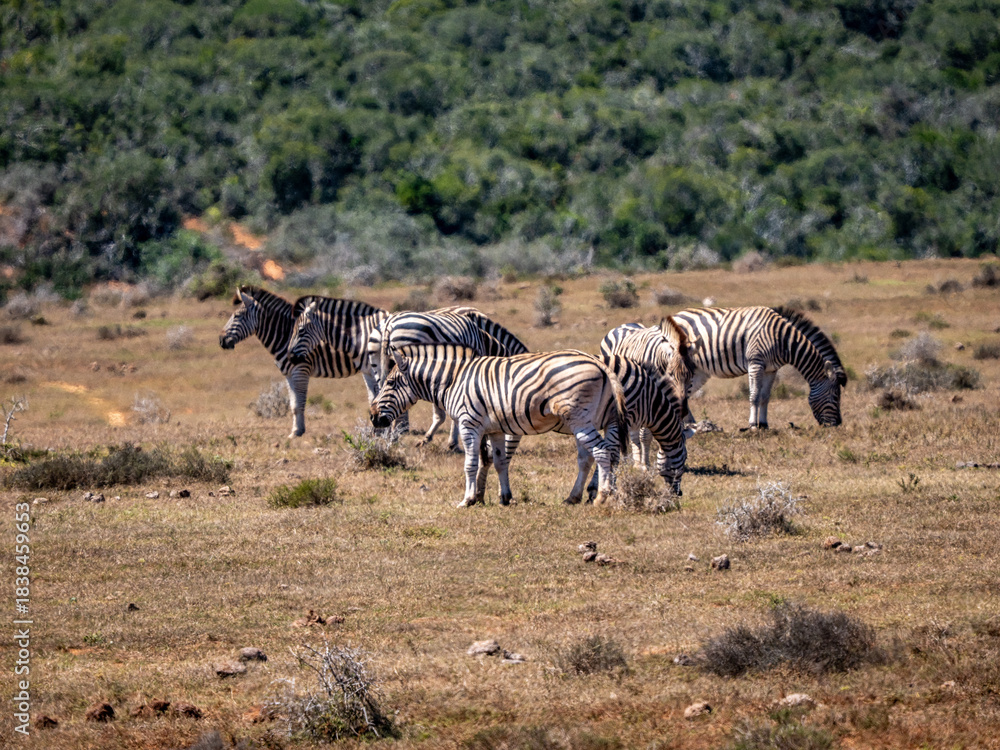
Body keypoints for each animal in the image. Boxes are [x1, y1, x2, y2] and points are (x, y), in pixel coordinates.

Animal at [218, 285, 386, 438]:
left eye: (237, 316)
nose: (221, 340)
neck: (285, 335)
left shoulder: (301, 370)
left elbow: (300, 404)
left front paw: (298, 432)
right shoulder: (288, 374)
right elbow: (293, 405)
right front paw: (295, 431)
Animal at [369, 344, 629, 507]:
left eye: (390, 383)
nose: (373, 417)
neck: (452, 381)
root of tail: (598, 362)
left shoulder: (469, 424)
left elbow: (470, 464)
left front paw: (467, 500)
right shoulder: (494, 429)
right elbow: (500, 462)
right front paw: (505, 497)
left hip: (579, 418)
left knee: (602, 452)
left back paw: (602, 497)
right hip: (599, 420)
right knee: (595, 456)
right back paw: (575, 497)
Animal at [586, 354, 689, 499]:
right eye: (685, 457)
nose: (679, 493)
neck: (648, 400)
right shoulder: (621, 421)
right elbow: (612, 453)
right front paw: (604, 487)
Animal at [669, 306, 847, 429]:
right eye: (835, 396)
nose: (838, 424)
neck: (782, 340)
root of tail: (675, 315)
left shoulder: (771, 369)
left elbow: (765, 396)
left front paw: (764, 424)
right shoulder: (756, 363)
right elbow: (754, 395)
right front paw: (753, 425)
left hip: (698, 370)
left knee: (684, 393)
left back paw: (691, 425)